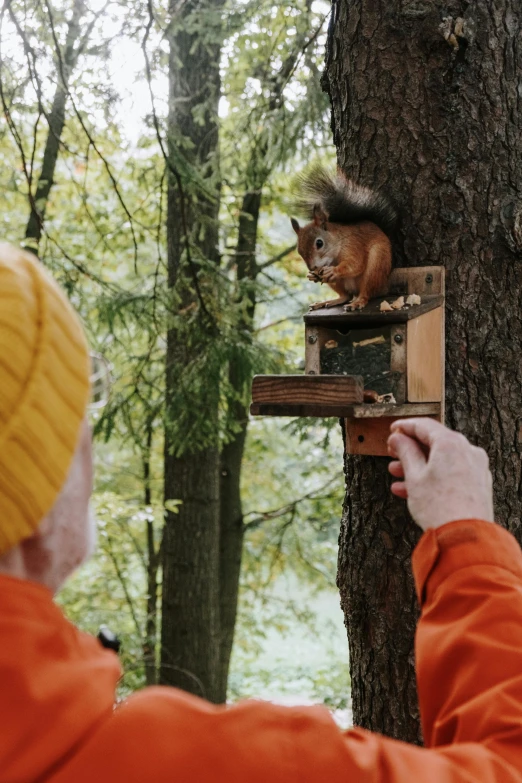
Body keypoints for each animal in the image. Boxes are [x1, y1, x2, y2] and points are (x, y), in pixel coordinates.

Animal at [290, 165, 396, 310]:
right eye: (299, 250)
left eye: (319, 243)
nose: (312, 268)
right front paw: (311, 276)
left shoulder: (353, 244)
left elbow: (355, 263)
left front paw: (334, 271)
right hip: (338, 284)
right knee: (345, 296)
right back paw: (329, 301)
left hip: (376, 264)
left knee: (366, 292)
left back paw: (358, 302)